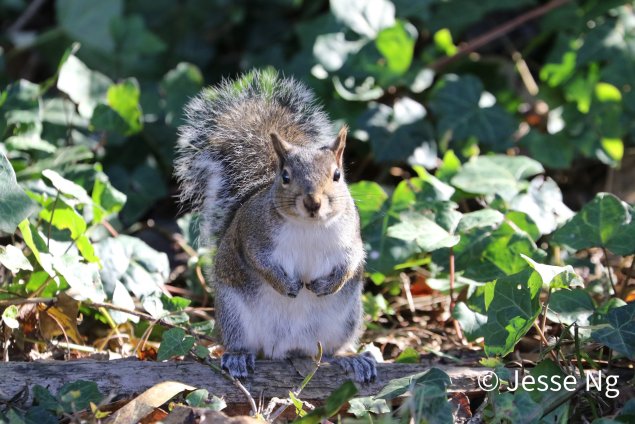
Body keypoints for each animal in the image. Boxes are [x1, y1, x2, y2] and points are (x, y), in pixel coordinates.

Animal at [175, 69, 376, 383]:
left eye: (337, 175)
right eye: (285, 177)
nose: (313, 202)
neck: (309, 226)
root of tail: (288, 348)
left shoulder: (350, 236)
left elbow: (352, 260)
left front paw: (329, 284)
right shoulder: (253, 234)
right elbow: (258, 261)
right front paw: (286, 285)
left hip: (344, 321)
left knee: (331, 351)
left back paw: (351, 359)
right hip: (234, 316)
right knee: (242, 344)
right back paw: (239, 357)